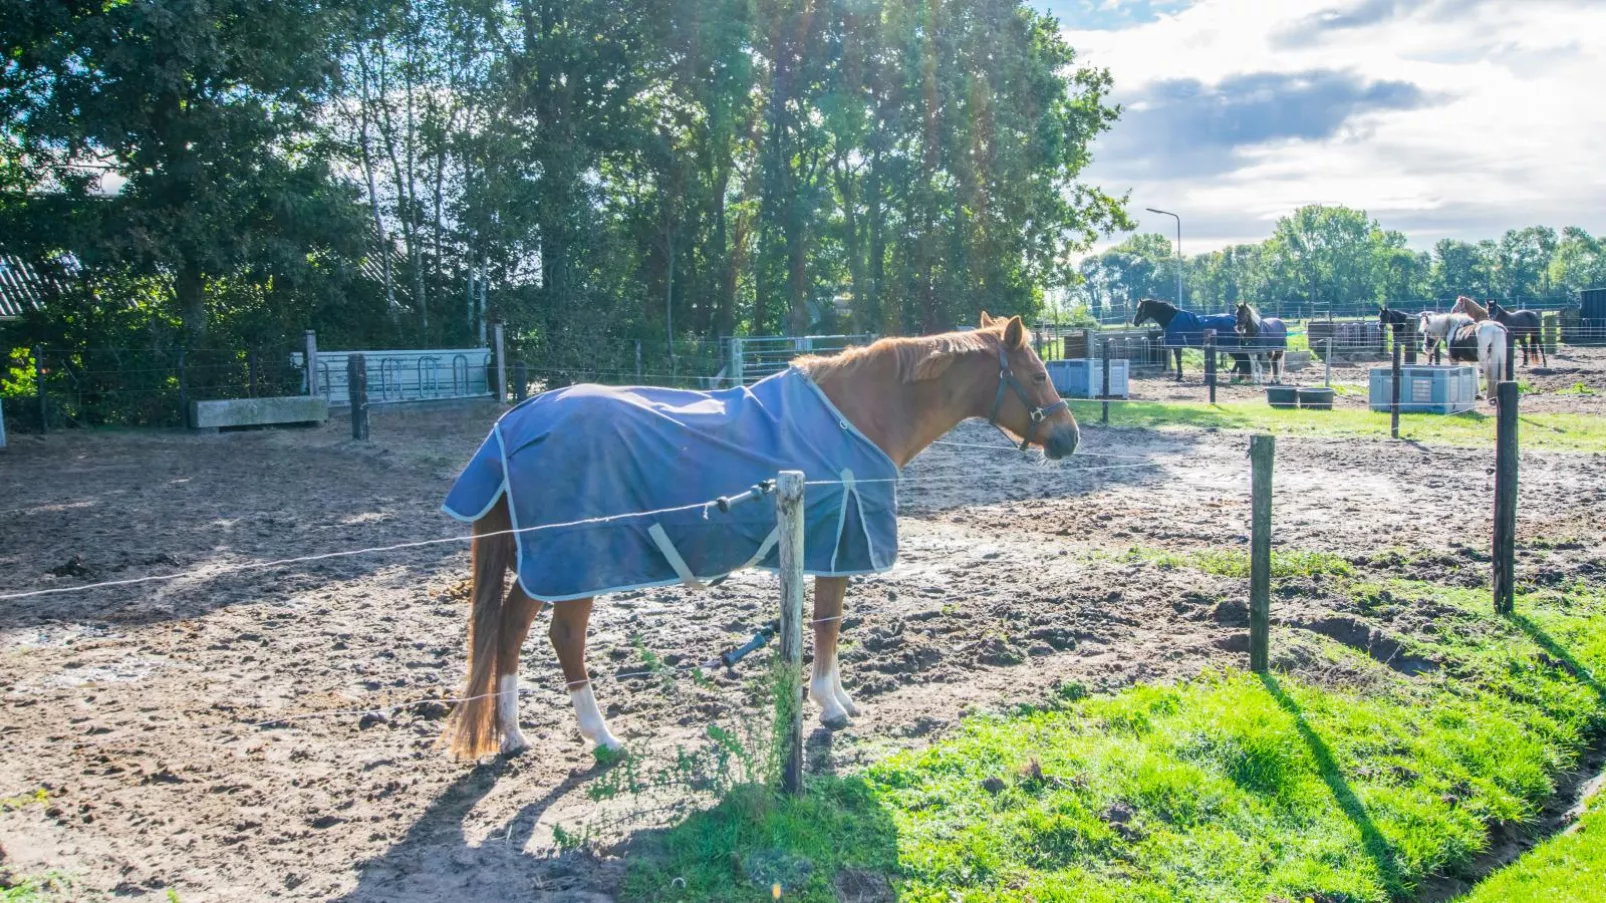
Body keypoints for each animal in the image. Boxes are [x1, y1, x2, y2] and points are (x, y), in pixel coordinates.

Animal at [440, 313, 1079, 755]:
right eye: (1040, 373)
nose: (1070, 436)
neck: (859, 415)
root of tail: (516, 421)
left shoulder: (824, 548)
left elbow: (827, 623)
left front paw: (839, 698)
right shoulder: (840, 544)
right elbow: (827, 624)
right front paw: (829, 706)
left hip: (547, 566)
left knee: (511, 629)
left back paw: (512, 734)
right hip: (577, 563)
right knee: (563, 637)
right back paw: (601, 736)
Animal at [1137, 297, 1284, 377]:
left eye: (1139, 309)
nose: (1135, 321)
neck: (1172, 317)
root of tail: (1234, 321)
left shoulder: (1177, 345)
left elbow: (1178, 361)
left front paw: (1179, 376)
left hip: (1230, 346)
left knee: (1240, 358)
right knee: (1240, 359)